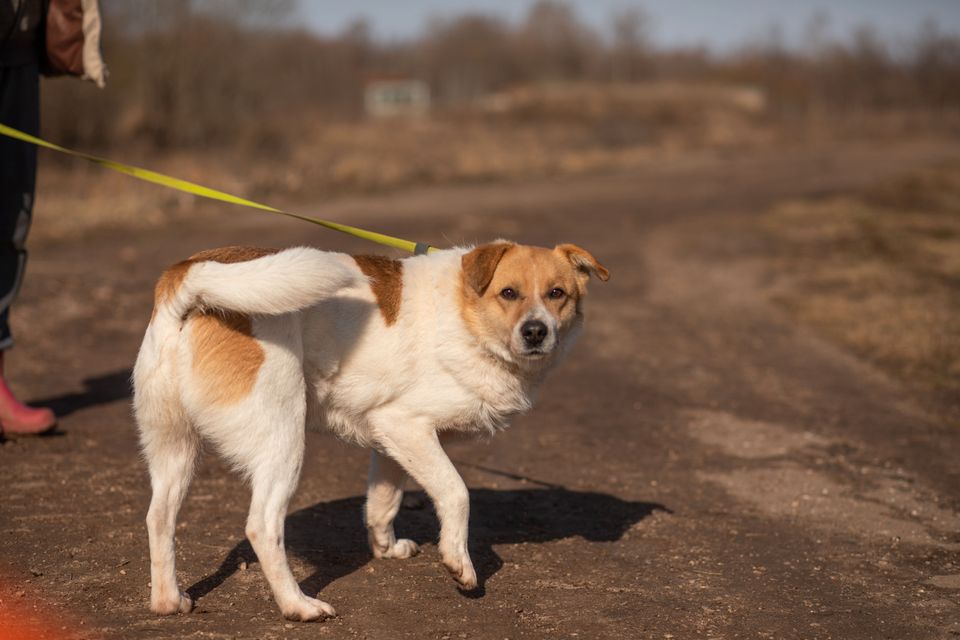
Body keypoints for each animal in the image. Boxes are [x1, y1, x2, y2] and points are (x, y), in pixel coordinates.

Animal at [131, 239, 608, 620]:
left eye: (557, 294)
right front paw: (459, 563)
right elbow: (456, 493)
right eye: (509, 293)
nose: (535, 332)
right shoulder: (408, 426)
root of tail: (189, 279)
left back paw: (168, 601)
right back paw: (297, 606)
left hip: (174, 448)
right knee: (262, 527)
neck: (466, 315)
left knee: (159, 517)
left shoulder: (391, 436)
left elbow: (383, 501)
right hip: (282, 441)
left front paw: (385, 548)